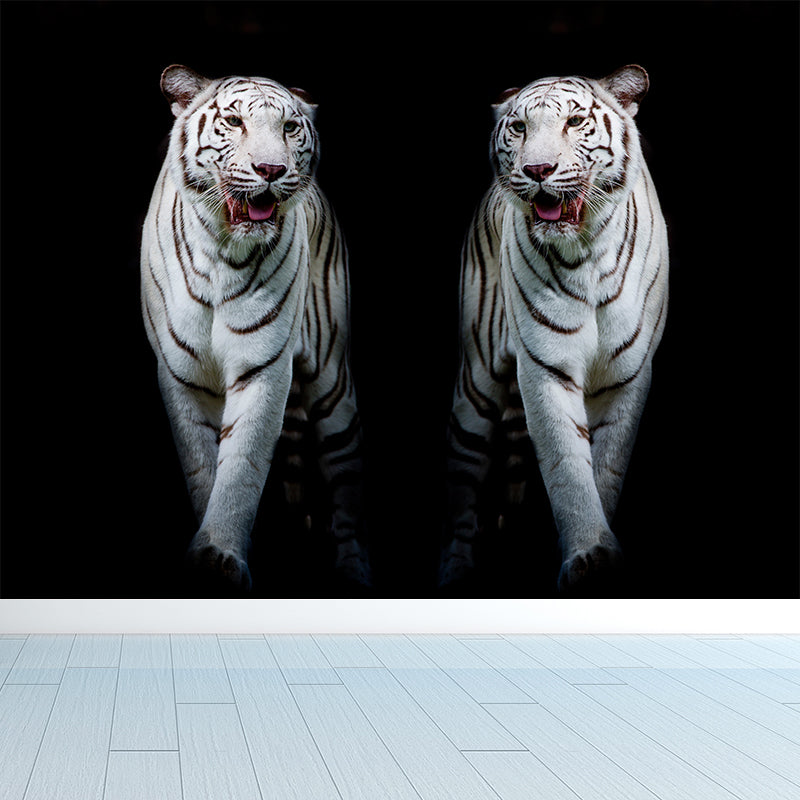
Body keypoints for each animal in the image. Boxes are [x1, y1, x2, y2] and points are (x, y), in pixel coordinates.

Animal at [141, 65, 369, 591]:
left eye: (289, 128)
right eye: (233, 121)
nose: (270, 170)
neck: (222, 251)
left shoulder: (263, 366)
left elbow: (242, 465)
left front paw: (220, 554)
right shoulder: (181, 374)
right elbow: (203, 466)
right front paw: (209, 558)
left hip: (332, 383)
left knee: (346, 482)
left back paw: (352, 571)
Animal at [440, 65, 668, 592]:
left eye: (575, 121)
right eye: (519, 128)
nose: (538, 170)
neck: (587, 252)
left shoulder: (627, 374)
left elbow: (605, 466)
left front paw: (600, 558)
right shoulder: (546, 367)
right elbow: (567, 465)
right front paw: (588, 554)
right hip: (476, 383)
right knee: (463, 481)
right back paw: (456, 570)